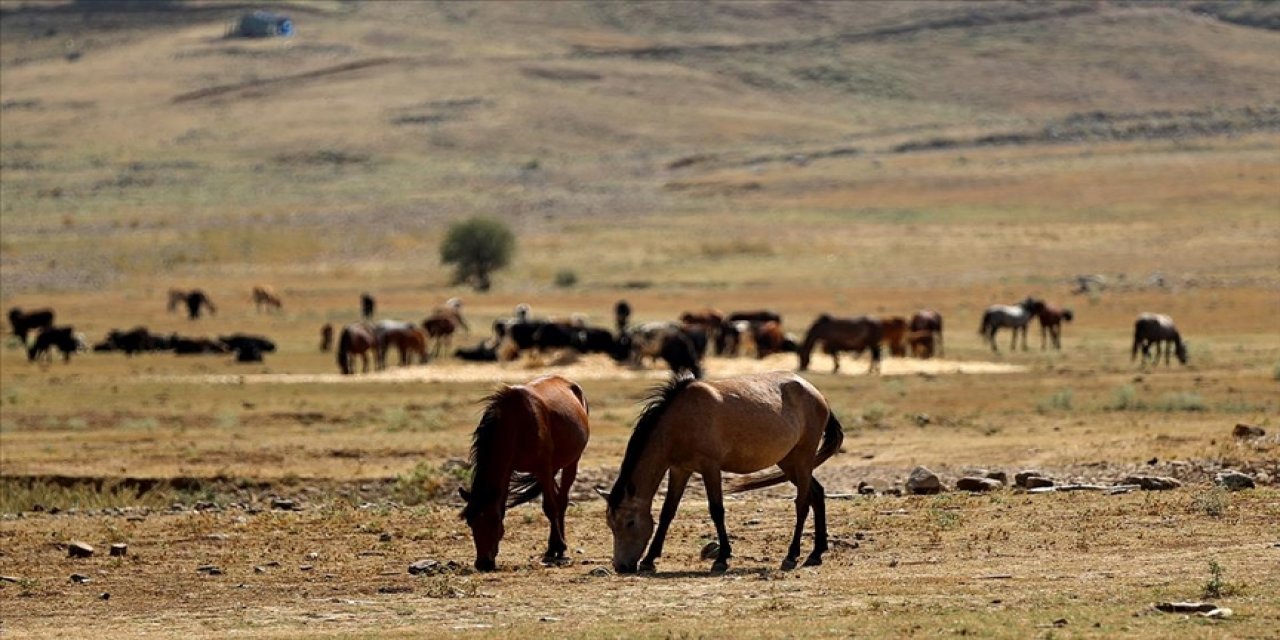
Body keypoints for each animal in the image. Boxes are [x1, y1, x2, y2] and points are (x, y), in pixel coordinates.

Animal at [458, 373, 591, 570]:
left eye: (493, 520)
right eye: (470, 522)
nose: (483, 563)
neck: (516, 424)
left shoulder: (543, 468)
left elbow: (549, 507)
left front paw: (558, 547)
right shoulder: (510, 470)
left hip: (570, 463)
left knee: (562, 500)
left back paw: (558, 548)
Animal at [601, 371, 844, 576]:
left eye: (630, 522)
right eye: (610, 524)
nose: (621, 566)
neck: (680, 419)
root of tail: (817, 395)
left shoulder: (710, 467)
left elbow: (716, 510)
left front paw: (722, 559)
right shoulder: (680, 469)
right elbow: (667, 512)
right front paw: (649, 560)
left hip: (802, 459)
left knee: (802, 503)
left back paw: (792, 555)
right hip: (789, 461)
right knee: (816, 494)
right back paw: (816, 554)